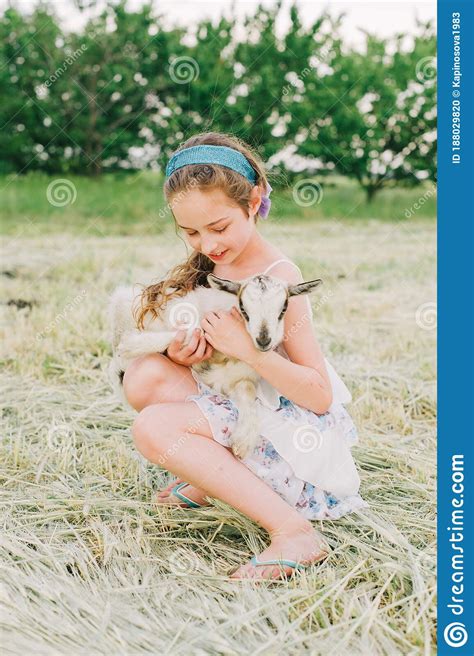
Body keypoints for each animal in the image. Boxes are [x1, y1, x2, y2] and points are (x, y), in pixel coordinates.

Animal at [108, 274, 322, 458]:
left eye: (284, 308)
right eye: (243, 308)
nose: (263, 341)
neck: (224, 356)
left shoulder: (238, 378)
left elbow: (248, 392)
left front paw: (243, 443)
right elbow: (189, 333)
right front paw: (129, 347)